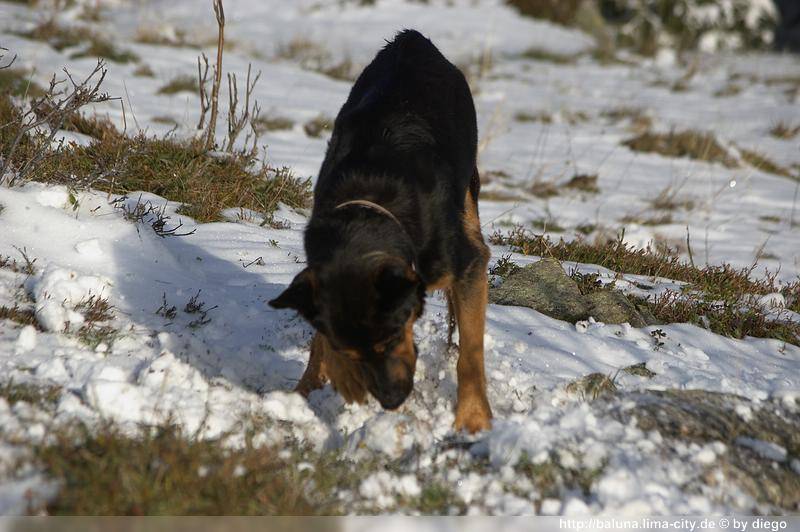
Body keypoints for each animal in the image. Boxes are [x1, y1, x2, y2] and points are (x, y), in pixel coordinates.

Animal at [269, 29, 492, 433]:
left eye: (392, 336)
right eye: (350, 352)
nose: (391, 401)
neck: (368, 216)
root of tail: (412, 38)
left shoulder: (462, 264)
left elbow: (470, 351)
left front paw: (473, 420)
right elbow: (320, 342)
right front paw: (308, 392)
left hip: (468, 184)